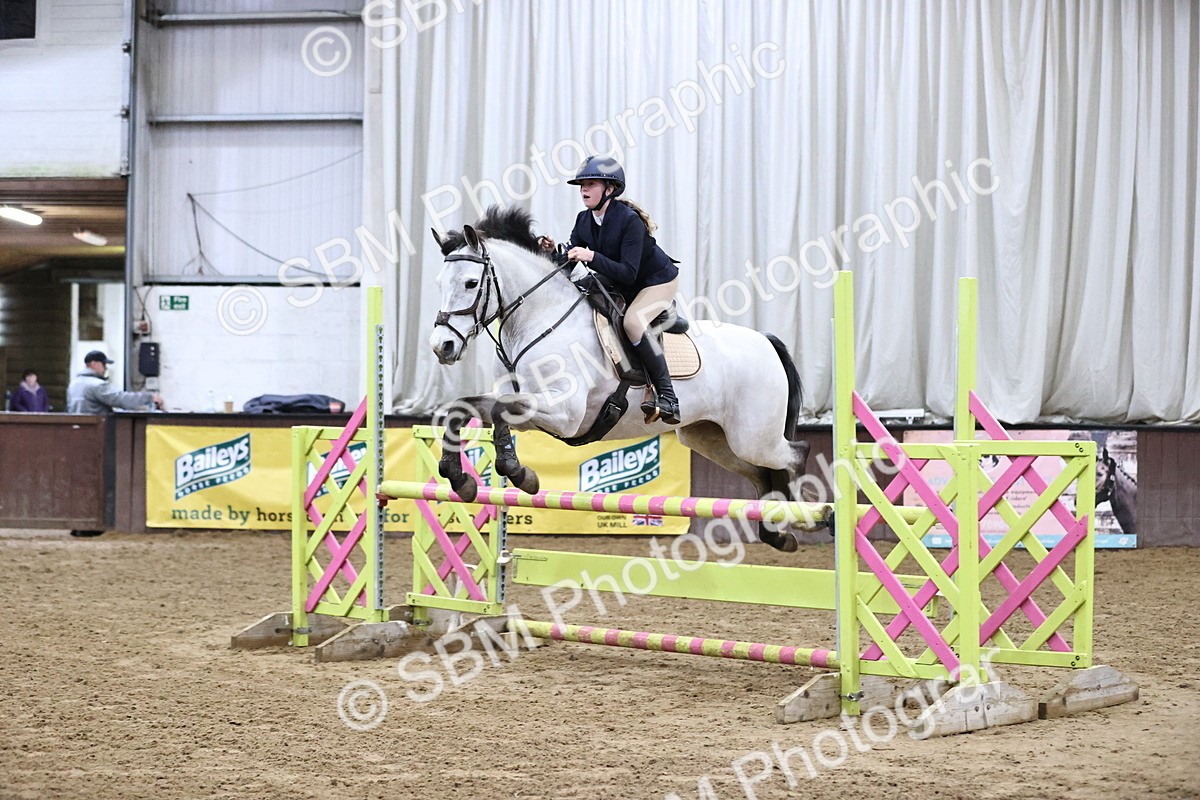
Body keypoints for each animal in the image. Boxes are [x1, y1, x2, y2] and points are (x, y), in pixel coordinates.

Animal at [426, 206, 820, 551]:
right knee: (763, 473)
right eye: (439, 283)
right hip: (712, 438)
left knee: (794, 455)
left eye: (471, 283)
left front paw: (517, 473)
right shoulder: (529, 405)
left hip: (753, 436)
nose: (442, 346)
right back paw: (778, 533)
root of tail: (766, 342)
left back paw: (806, 517)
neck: (541, 319)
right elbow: (467, 410)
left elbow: (498, 412)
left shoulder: (565, 415)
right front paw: (463, 479)